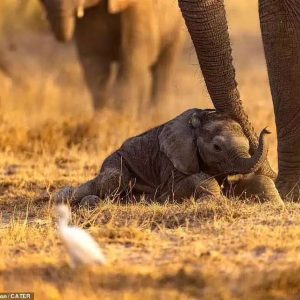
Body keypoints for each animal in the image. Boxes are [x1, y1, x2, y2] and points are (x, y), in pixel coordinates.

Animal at [39, 0, 185, 110]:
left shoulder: (139, 8)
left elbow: (132, 57)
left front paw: (122, 117)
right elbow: (95, 61)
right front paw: (102, 118)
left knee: (163, 66)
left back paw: (155, 115)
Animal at [56, 109, 284, 205]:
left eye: (248, 145)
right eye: (217, 147)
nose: (267, 129)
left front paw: (275, 203)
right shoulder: (172, 160)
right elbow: (187, 182)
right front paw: (213, 201)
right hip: (114, 161)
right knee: (114, 179)